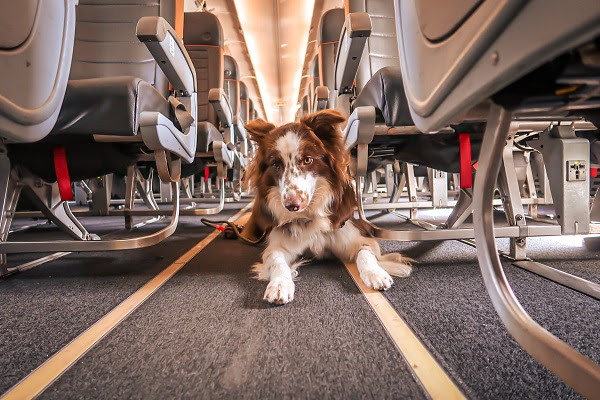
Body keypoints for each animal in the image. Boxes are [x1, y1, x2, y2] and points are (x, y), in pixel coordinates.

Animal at [241, 109, 410, 304]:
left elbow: (366, 253)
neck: (309, 218)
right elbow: (277, 261)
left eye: (307, 160)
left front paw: (375, 273)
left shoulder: (356, 237)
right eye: (276, 165)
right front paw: (279, 284)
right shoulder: (278, 246)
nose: (291, 206)